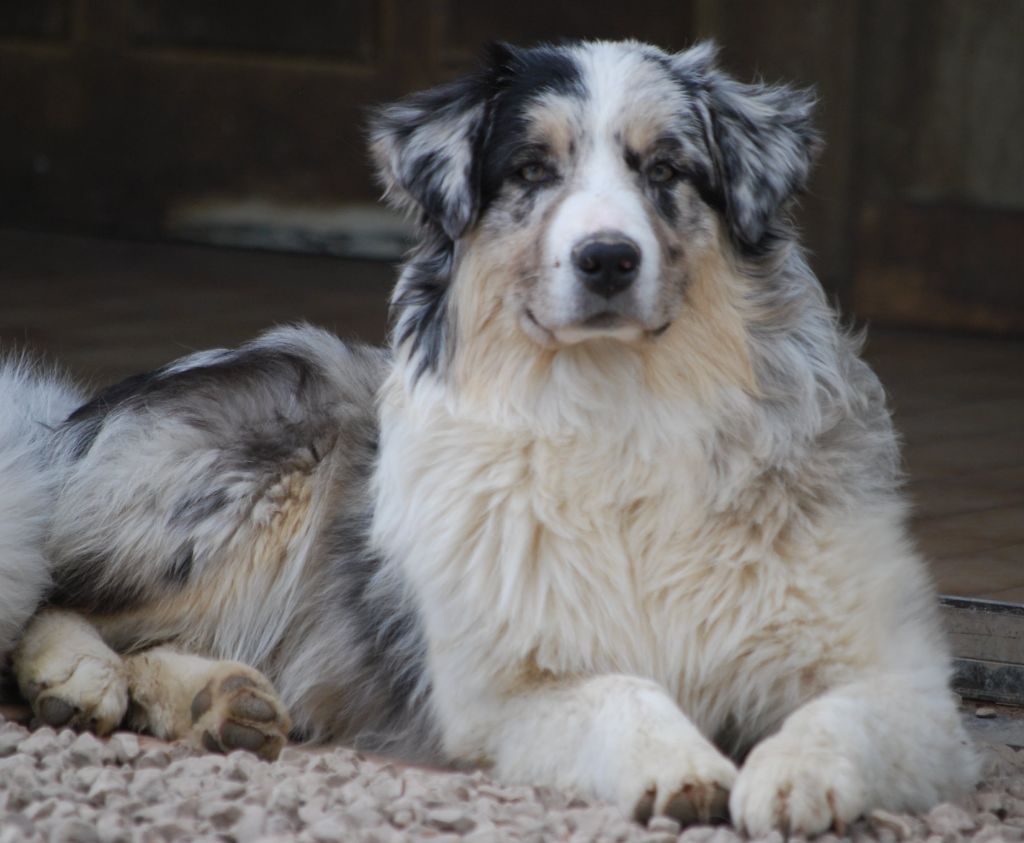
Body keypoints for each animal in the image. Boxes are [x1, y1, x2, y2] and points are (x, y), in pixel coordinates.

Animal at [0, 41, 974, 835]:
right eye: (533, 169)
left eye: (667, 167)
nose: (608, 258)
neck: (620, 407)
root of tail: (69, 419)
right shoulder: (500, 691)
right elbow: (623, 688)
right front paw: (682, 764)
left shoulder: (907, 681)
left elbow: (845, 710)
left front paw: (796, 775)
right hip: (261, 467)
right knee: (57, 591)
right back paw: (82, 678)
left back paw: (221, 699)